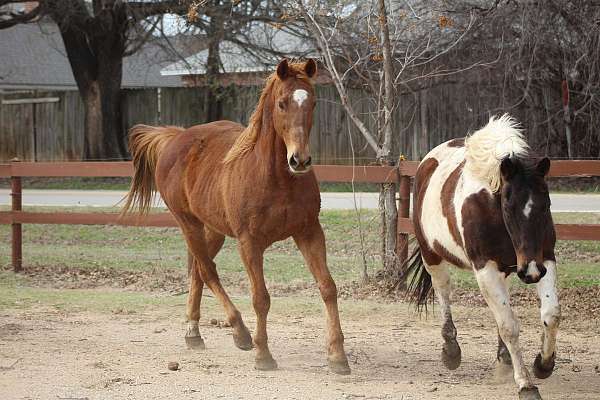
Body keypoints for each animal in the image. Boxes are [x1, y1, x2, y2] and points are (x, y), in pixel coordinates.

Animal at [120, 60, 352, 376]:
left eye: (313, 102)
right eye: (282, 103)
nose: (300, 160)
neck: (276, 178)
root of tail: (175, 137)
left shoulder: (309, 232)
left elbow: (328, 288)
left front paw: (338, 356)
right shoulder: (249, 242)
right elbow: (261, 298)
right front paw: (263, 355)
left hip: (213, 229)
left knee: (199, 271)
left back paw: (194, 333)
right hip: (188, 224)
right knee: (207, 270)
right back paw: (240, 333)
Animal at [406, 114, 560, 398]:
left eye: (546, 205)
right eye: (509, 207)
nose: (531, 272)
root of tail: (426, 164)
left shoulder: (543, 259)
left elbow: (550, 314)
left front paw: (543, 364)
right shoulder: (485, 269)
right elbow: (509, 326)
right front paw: (526, 384)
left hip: (508, 268)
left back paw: (504, 358)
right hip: (432, 256)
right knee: (443, 292)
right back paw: (451, 350)